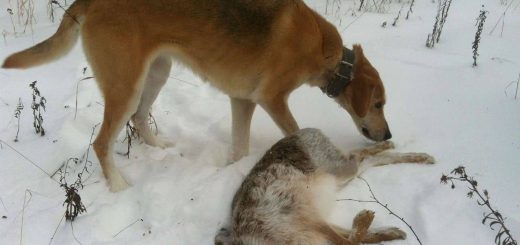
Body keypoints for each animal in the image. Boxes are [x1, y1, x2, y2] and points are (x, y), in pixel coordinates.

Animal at [0, 0, 390, 191]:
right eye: (378, 104)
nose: (387, 134)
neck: (327, 54)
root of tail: (89, 0)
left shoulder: (242, 100)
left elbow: (239, 147)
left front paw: (232, 172)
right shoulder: (271, 98)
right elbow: (295, 131)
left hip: (156, 73)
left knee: (139, 118)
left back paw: (159, 147)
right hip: (126, 84)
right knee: (102, 142)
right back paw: (119, 186)